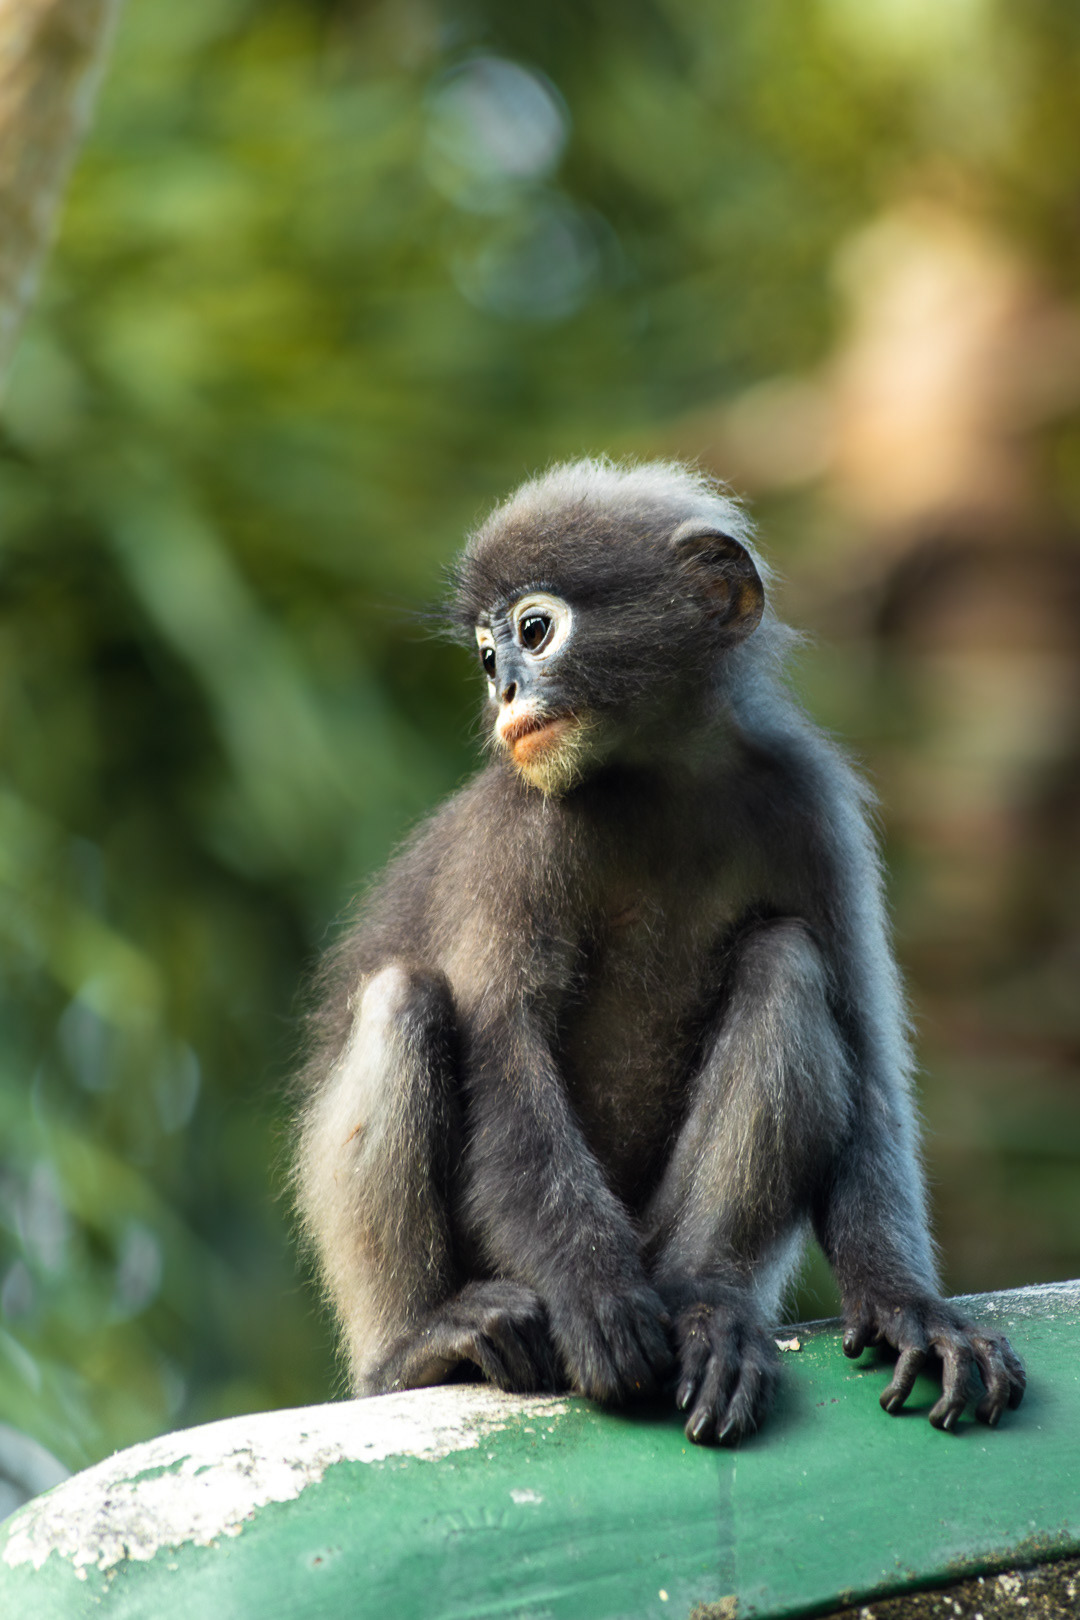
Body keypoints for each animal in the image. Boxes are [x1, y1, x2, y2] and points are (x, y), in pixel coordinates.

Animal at [293, 457, 1026, 1445]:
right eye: (487, 659)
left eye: (533, 631)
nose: (504, 694)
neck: (657, 778)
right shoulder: (519, 832)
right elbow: (506, 1055)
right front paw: (596, 1301)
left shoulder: (810, 803)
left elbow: (869, 1062)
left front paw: (908, 1307)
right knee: (405, 997)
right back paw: (418, 1346)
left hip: (662, 1234)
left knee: (785, 961)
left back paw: (709, 1309)